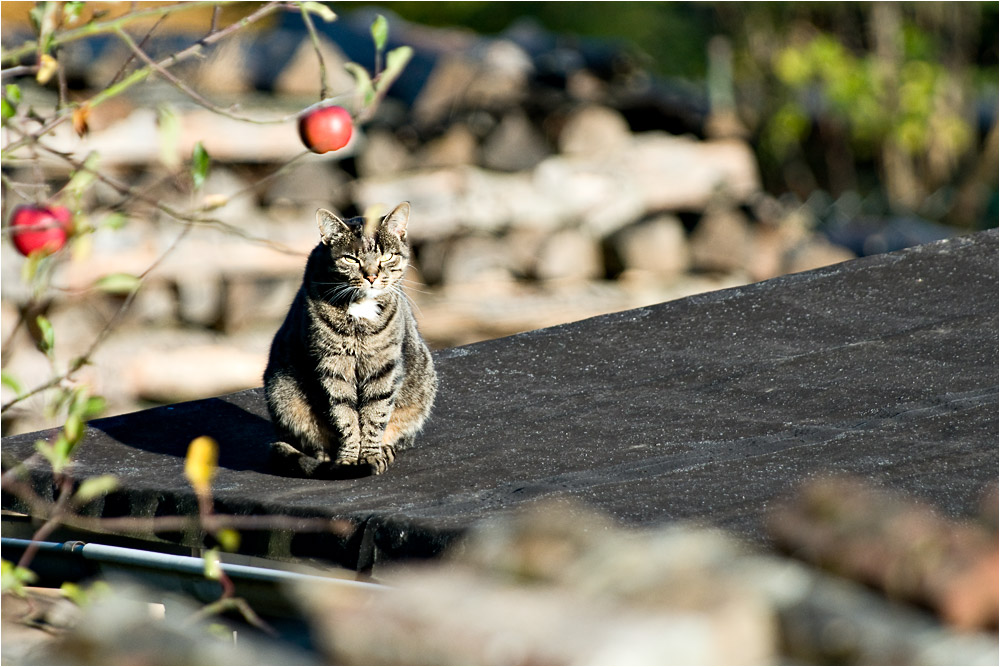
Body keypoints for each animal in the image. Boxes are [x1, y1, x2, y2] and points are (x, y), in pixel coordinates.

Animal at [266, 202, 438, 474]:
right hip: (282, 392)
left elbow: (375, 413)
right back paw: (326, 456)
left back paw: (386, 448)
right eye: (351, 259)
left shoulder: (383, 365)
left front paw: (369, 455)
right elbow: (344, 416)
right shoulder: (332, 366)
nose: (371, 276)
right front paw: (348, 458)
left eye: (386, 257)